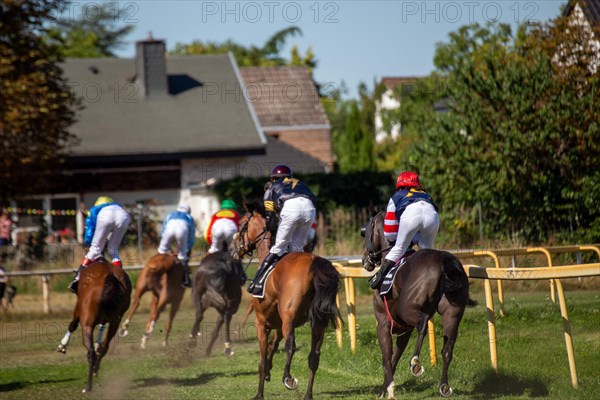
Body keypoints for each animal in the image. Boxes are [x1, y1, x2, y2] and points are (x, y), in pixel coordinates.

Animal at [56, 260, 131, 394]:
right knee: (104, 347)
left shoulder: (78, 309)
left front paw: (62, 345)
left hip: (87, 324)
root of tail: (110, 278)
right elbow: (101, 332)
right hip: (115, 321)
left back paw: (88, 386)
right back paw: (96, 369)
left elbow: (72, 325)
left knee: (90, 352)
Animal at [231, 206, 340, 400]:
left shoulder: (262, 323)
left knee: (291, 345)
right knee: (314, 355)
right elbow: (273, 346)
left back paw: (288, 379)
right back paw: (308, 395)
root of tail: (315, 261)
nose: (232, 250)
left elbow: (263, 355)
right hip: (318, 321)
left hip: (289, 318)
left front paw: (259, 392)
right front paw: (268, 371)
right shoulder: (278, 324)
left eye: (242, 225)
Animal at [364, 211, 472, 398]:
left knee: (422, 323)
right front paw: (385, 388)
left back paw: (416, 363)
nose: (365, 260)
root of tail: (443, 259)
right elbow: (394, 358)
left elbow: (387, 358)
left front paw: (387, 390)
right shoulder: (404, 329)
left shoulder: (383, 323)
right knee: (448, 349)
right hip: (453, 313)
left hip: (408, 309)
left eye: (366, 232)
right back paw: (444, 385)